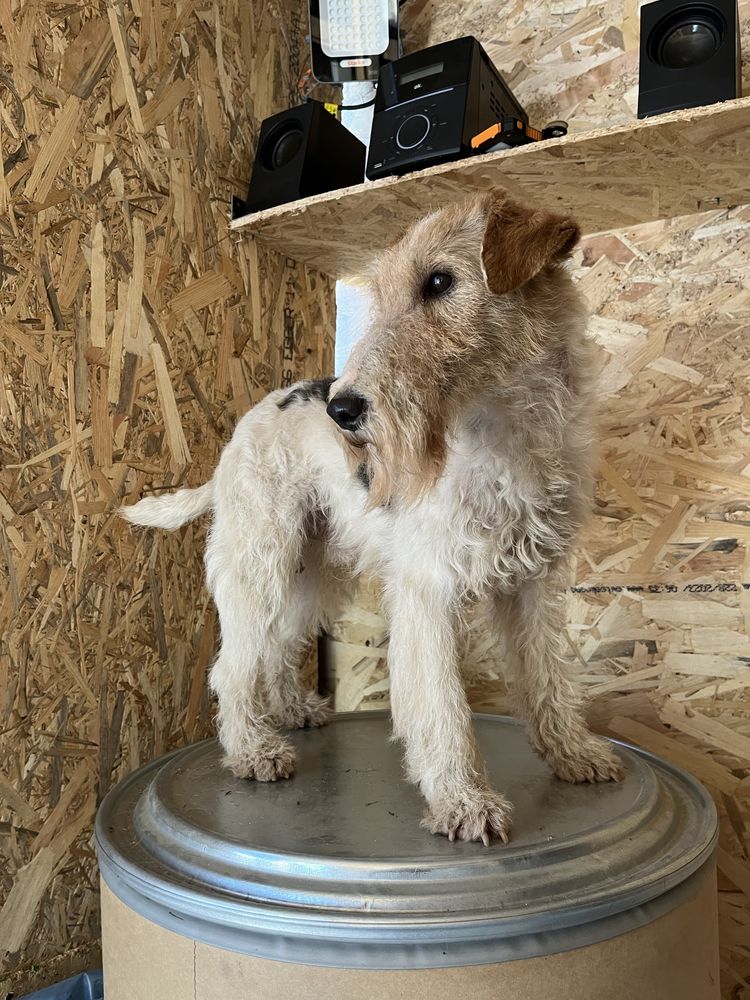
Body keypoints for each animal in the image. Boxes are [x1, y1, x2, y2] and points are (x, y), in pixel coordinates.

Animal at [123, 189, 624, 844]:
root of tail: (247, 424)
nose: (343, 411)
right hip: (261, 562)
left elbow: (548, 680)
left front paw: (573, 753)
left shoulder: (534, 585)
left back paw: (292, 710)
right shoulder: (427, 590)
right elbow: (442, 708)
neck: (508, 430)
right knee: (232, 669)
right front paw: (465, 801)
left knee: (277, 649)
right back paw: (253, 749)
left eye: (439, 281)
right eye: (380, 296)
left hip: (314, 571)